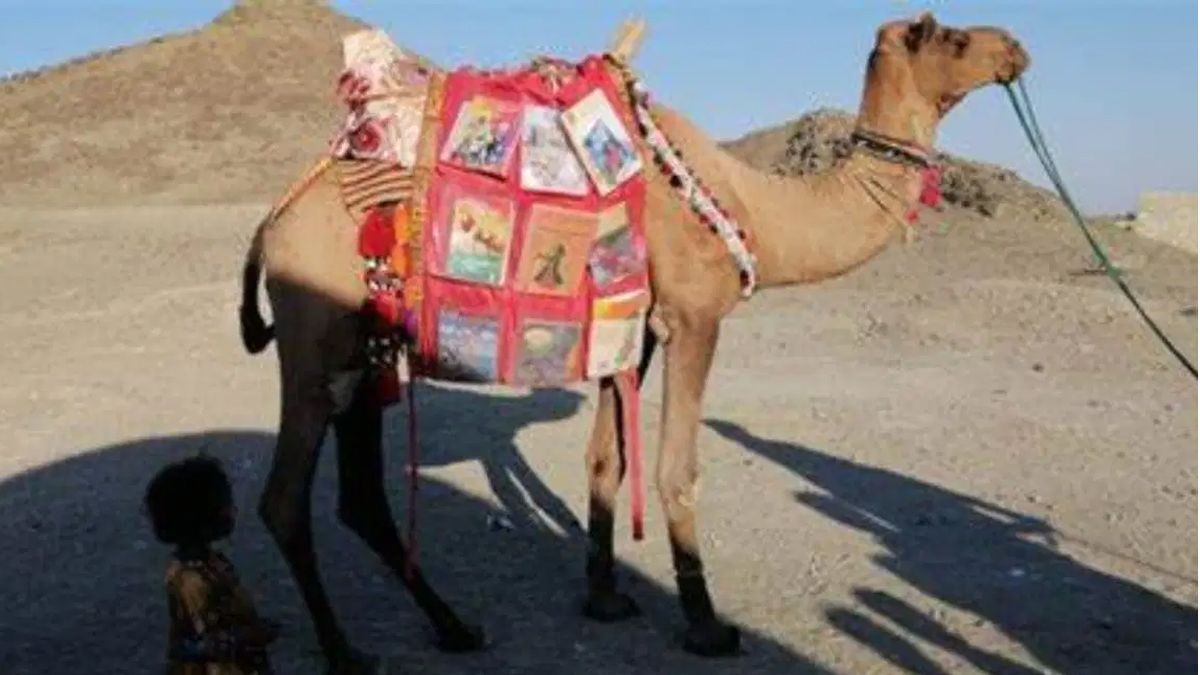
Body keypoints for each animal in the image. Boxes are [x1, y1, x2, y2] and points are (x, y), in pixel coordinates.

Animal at [238, 12, 1029, 673]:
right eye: (954, 36)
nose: (1016, 48)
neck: (751, 210)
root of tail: (273, 222)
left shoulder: (633, 328)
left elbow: (607, 459)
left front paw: (605, 598)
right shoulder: (694, 317)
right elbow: (677, 468)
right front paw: (707, 625)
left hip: (364, 341)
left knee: (360, 496)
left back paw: (455, 626)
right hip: (314, 337)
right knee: (284, 499)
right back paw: (346, 651)